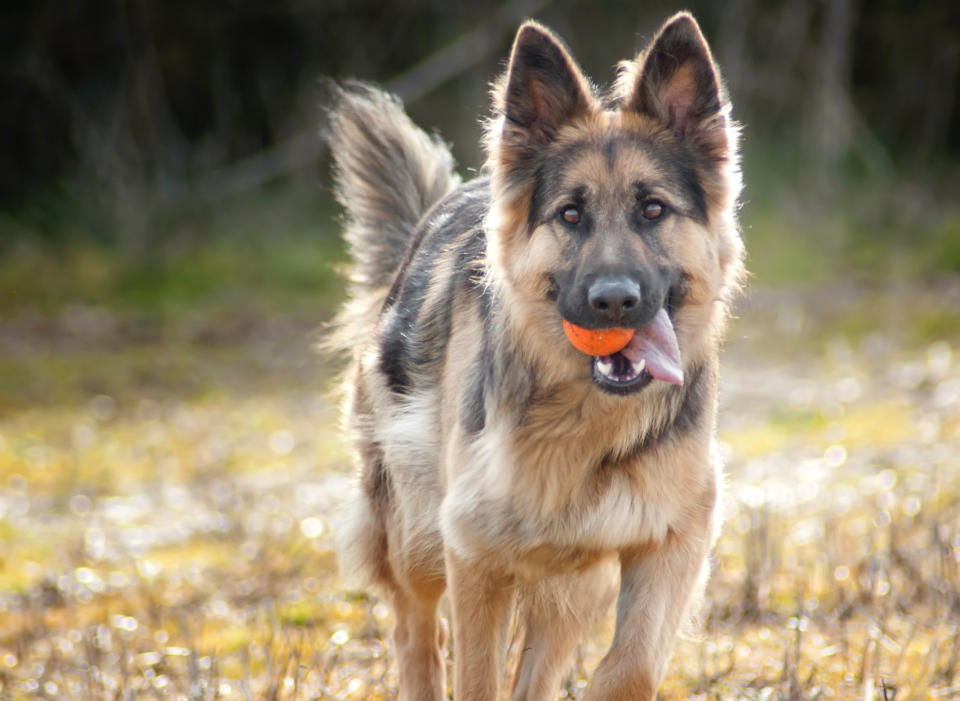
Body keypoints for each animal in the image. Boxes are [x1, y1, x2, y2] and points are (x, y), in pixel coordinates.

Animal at [328, 12, 744, 700]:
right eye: (570, 215)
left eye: (653, 209)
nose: (614, 302)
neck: (587, 425)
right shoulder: (474, 553)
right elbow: (474, 677)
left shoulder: (670, 538)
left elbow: (629, 668)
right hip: (416, 531)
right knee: (415, 629)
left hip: (576, 576)